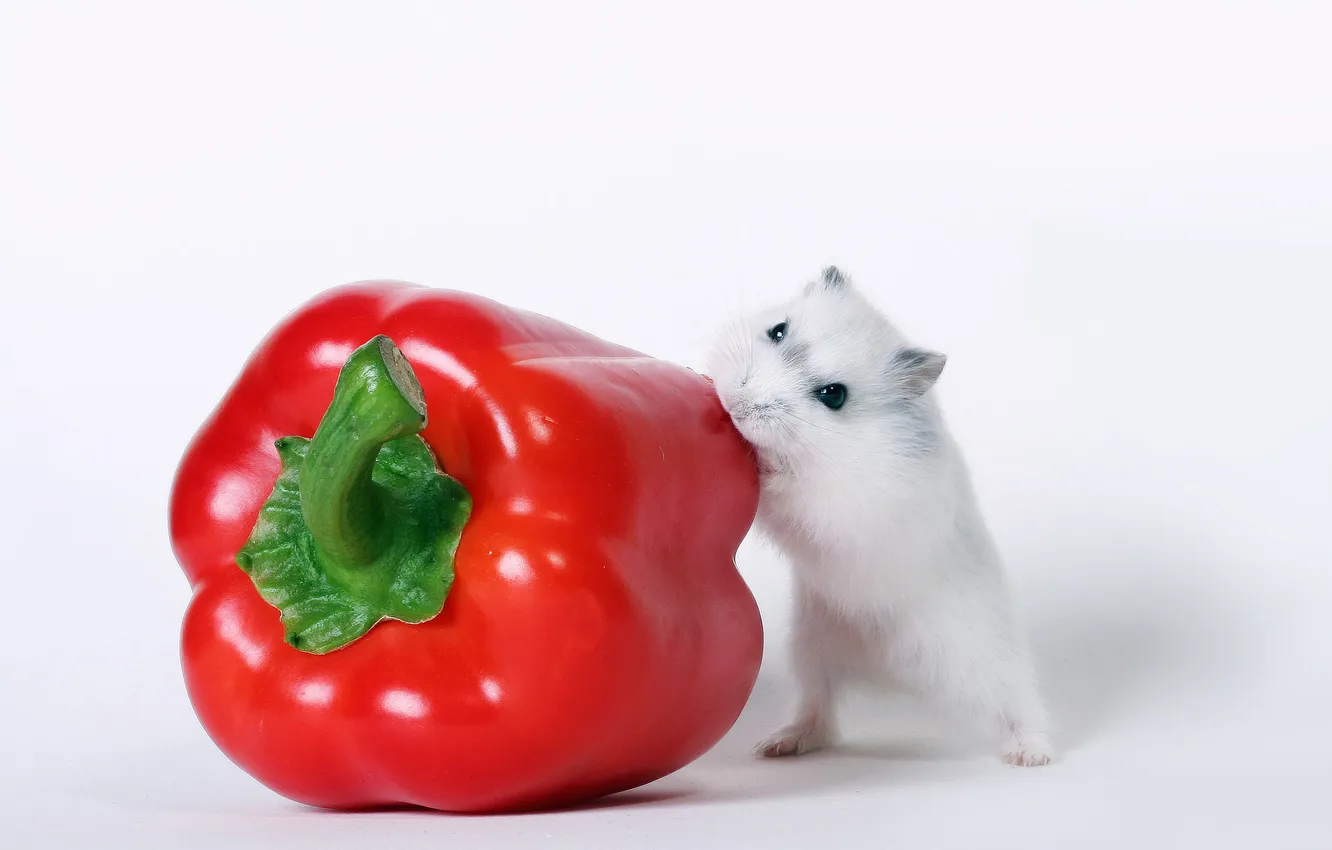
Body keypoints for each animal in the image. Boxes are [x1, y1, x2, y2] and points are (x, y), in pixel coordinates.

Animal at [703, 269, 1054, 767]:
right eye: (778, 331)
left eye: (833, 395)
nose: (735, 402)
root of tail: (896, 678)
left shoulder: (844, 503)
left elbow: (789, 490)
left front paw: (762, 462)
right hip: (811, 648)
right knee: (820, 712)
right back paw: (777, 745)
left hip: (985, 662)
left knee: (1020, 705)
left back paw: (1030, 754)